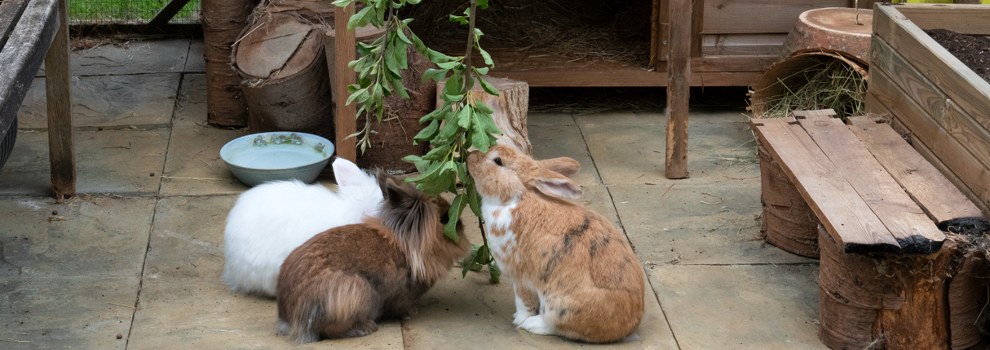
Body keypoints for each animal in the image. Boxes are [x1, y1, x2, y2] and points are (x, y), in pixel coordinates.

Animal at [276, 175, 468, 342]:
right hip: (355, 292)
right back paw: (365, 328)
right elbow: (402, 306)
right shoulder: (401, 294)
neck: (409, 244)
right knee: (330, 330)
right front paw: (411, 312)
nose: (461, 227)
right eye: (444, 219)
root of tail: (289, 317)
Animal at [468, 146, 648, 344]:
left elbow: (523, 302)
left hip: (560, 306)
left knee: (559, 326)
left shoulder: (520, 277)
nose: (470, 156)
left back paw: (532, 324)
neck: (516, 198)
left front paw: (519, 319)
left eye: (498, 161)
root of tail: (625, 328)